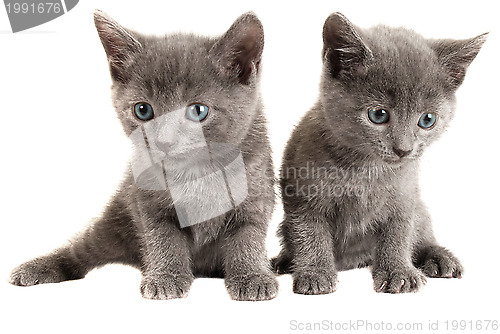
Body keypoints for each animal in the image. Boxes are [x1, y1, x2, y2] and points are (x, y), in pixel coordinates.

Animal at [8, 11, 278, 302]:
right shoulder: (148, 202)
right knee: (80, 250)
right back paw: (37, 267)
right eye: (142, 110)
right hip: (115, 218)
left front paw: (252, 276)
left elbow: (247, 236)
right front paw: (166, 277)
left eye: (198, 111)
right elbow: (163, 236)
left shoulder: (255, 193)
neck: (197, 171)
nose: (164, 141)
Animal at [274, 12, 488, 294]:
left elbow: (398, 232)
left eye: (427, 119)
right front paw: (315, 273)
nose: (404, 149)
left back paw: (439, 257)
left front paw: (398, 271)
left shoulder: (405, 195)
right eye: (378, 114)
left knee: (423, 232)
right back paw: (283, 261)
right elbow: (310, 234)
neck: (365, 169)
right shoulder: (302, 198)